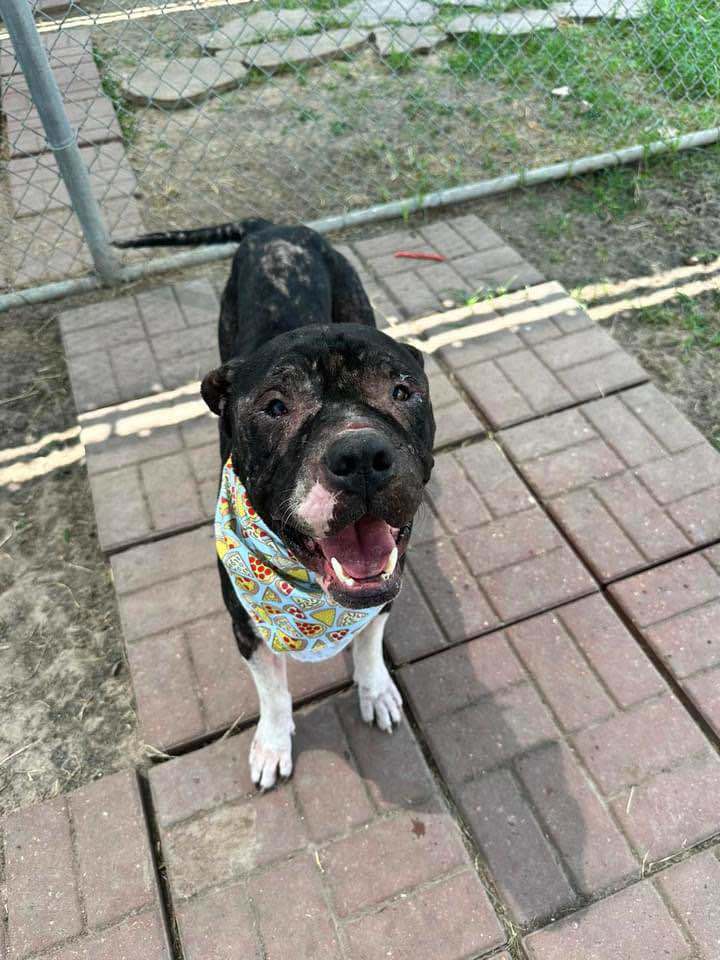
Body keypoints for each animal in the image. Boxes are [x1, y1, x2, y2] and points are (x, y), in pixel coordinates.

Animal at [115, 223, 436, 788]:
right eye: (275, 406)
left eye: (402, 391)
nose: (361, 455)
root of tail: (273, 226)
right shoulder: (247, 628)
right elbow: (272, 691)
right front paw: (272, 743)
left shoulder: (381, 596)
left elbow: (370, 644)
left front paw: (375, 688)